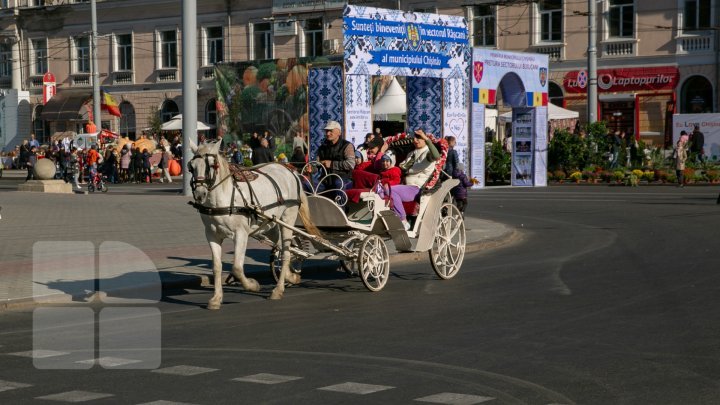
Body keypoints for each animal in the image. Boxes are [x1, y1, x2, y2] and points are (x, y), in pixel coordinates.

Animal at [187, 140, 320, 306]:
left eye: (213, 165)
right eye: (191, 167)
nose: (199, 194)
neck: (223, 197)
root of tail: (290, 170)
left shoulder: (241, 234)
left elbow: (237, 268)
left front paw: (252, 285)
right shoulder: (212, 235)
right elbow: (217, 267)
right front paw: (216, 298)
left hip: (288, 218)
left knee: (286, 253)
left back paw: (278, 289)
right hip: (271, 224)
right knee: (286, 249)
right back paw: (291, 276)